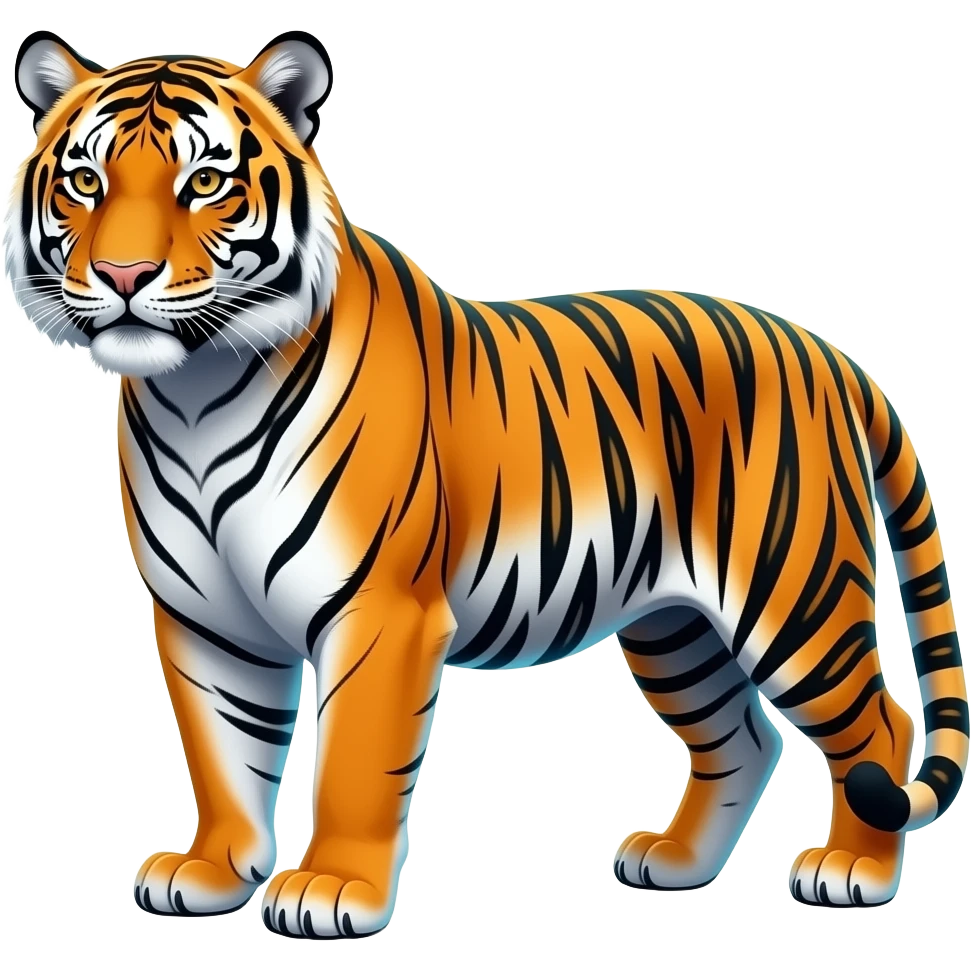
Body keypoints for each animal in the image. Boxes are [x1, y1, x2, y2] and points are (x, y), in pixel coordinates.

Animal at [4, 27, 967, 937]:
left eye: (204, 181)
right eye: (85, 180)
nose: (124, 277)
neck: (195, 392)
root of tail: (825, 350)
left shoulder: (379, 609)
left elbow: (353, 762)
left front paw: (330, 889)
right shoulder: (205, 618)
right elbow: (221, 753)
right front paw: (209, 872)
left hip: (793, 597)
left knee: (882, 725)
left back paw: (853, 872)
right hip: (674, 625)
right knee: (742, 736)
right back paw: (676, 861)